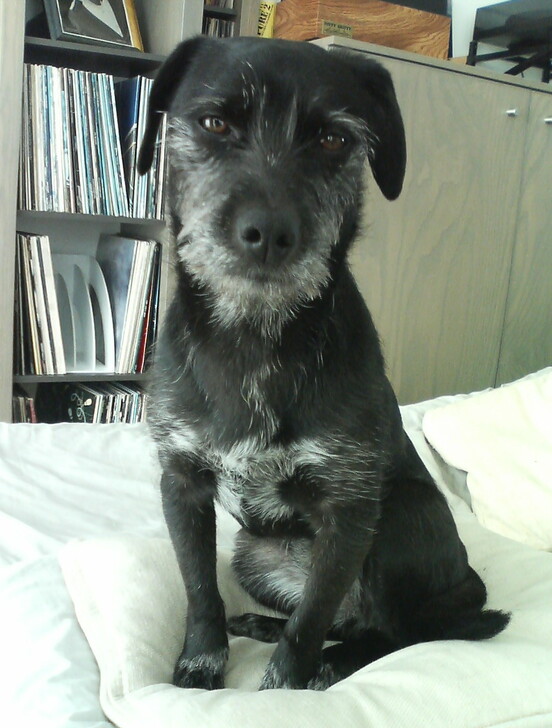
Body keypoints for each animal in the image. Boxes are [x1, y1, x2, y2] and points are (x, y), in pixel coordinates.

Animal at [138, 37, 508, 692]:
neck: (254, 336)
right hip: (253, 552)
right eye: (214, 123)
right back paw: (260, 625)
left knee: (395, 633)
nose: (268, 232)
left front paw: (281, 688)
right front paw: (202, 661)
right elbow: (199, 588)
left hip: (398, 520)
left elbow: (309, 620)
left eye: (335, 139)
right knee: (350, 617)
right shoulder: (181, 485)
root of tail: (466, 586)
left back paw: (334, 662)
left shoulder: (350, 512)